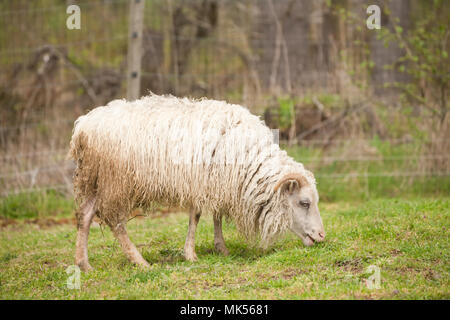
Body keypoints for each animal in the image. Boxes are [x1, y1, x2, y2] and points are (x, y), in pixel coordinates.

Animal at [68, 94, 326, 270]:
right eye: (304, 203)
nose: (322, 236)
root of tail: (83, 127)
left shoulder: (216, 181)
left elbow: (217, 214)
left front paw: (221, 248)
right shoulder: (200, 182)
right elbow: (197, 216)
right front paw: (191, 254)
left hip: (96, 178)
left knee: (85, 215)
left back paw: (84, 264)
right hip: (116, 181)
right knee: (115, 221)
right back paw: (139, 261)